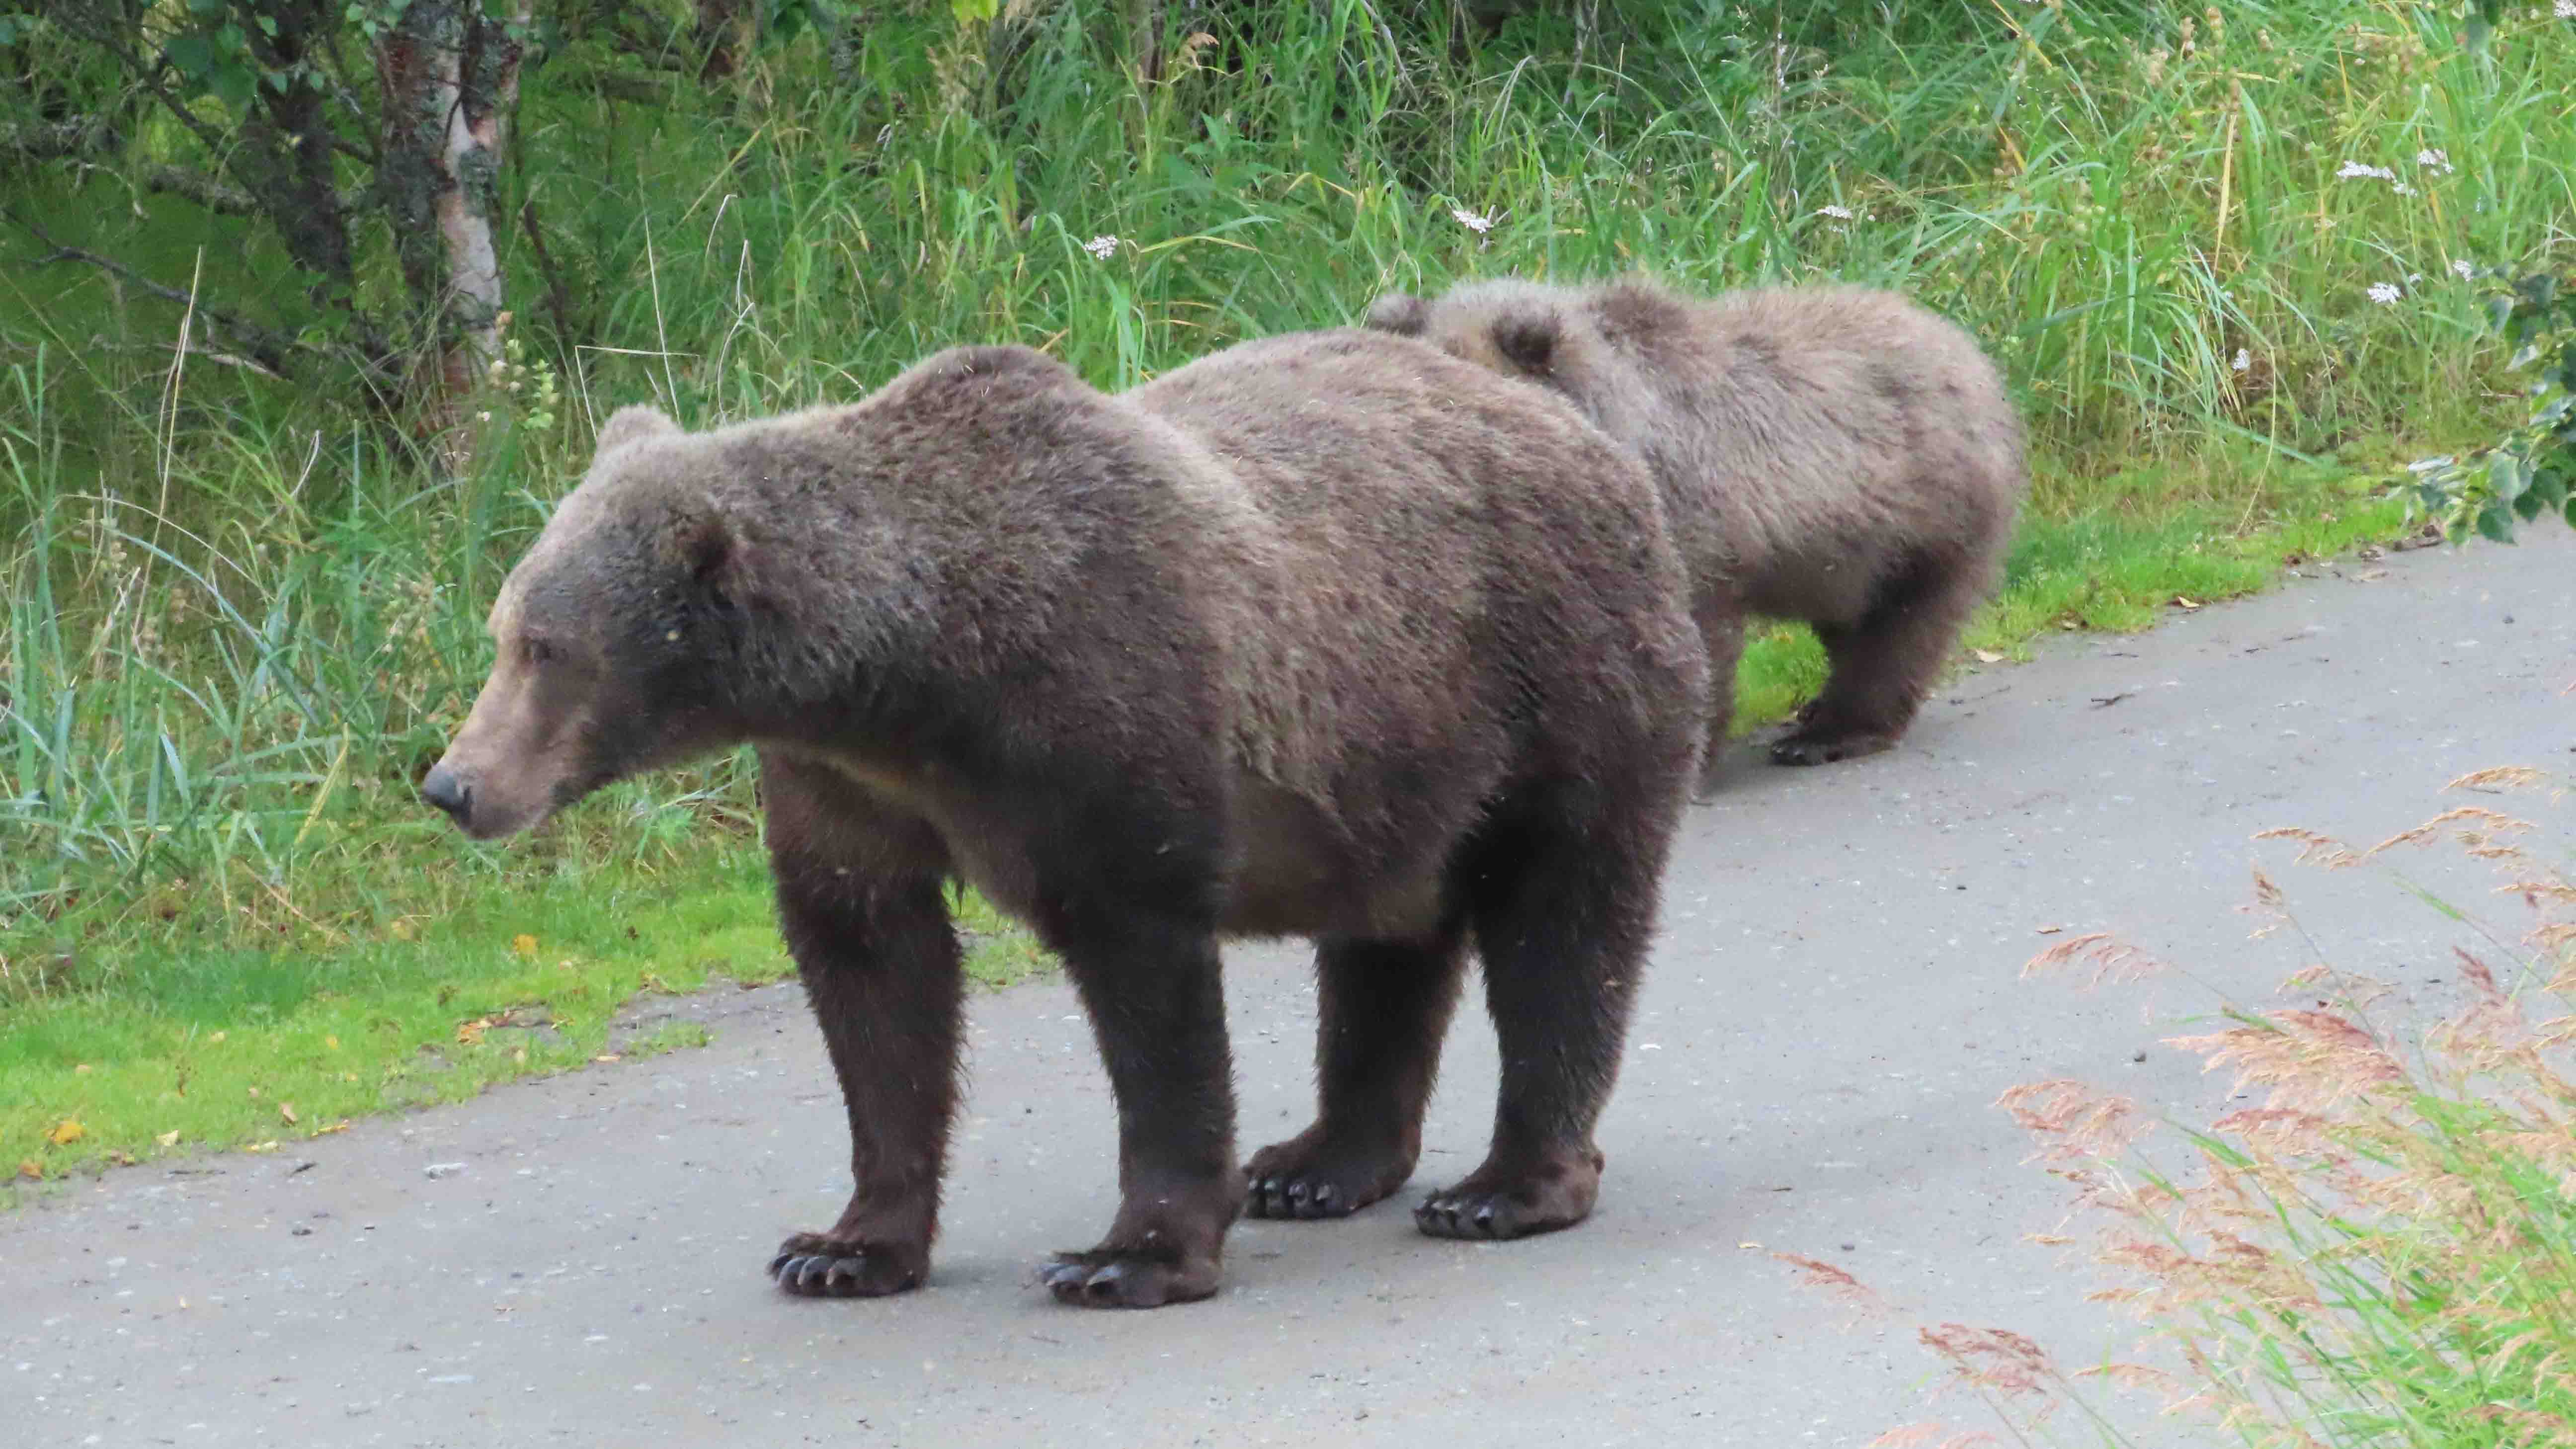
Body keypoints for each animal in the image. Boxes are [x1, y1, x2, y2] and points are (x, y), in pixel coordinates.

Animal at [420, 328, 1710, 1310]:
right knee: (1387, 941)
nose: (453, 783)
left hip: (1556, 678)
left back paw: (1505, 1185)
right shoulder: (846, 790)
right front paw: (844, 1246)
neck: (907, 678)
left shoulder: (1104, 730)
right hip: (1389, 756)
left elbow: (1149, 997)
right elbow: (874, 982)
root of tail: (1586, 436)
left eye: (547, 647)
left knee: (1566, 924)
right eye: (503, 627)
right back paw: (1318, 1163)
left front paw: (1127, 1254)